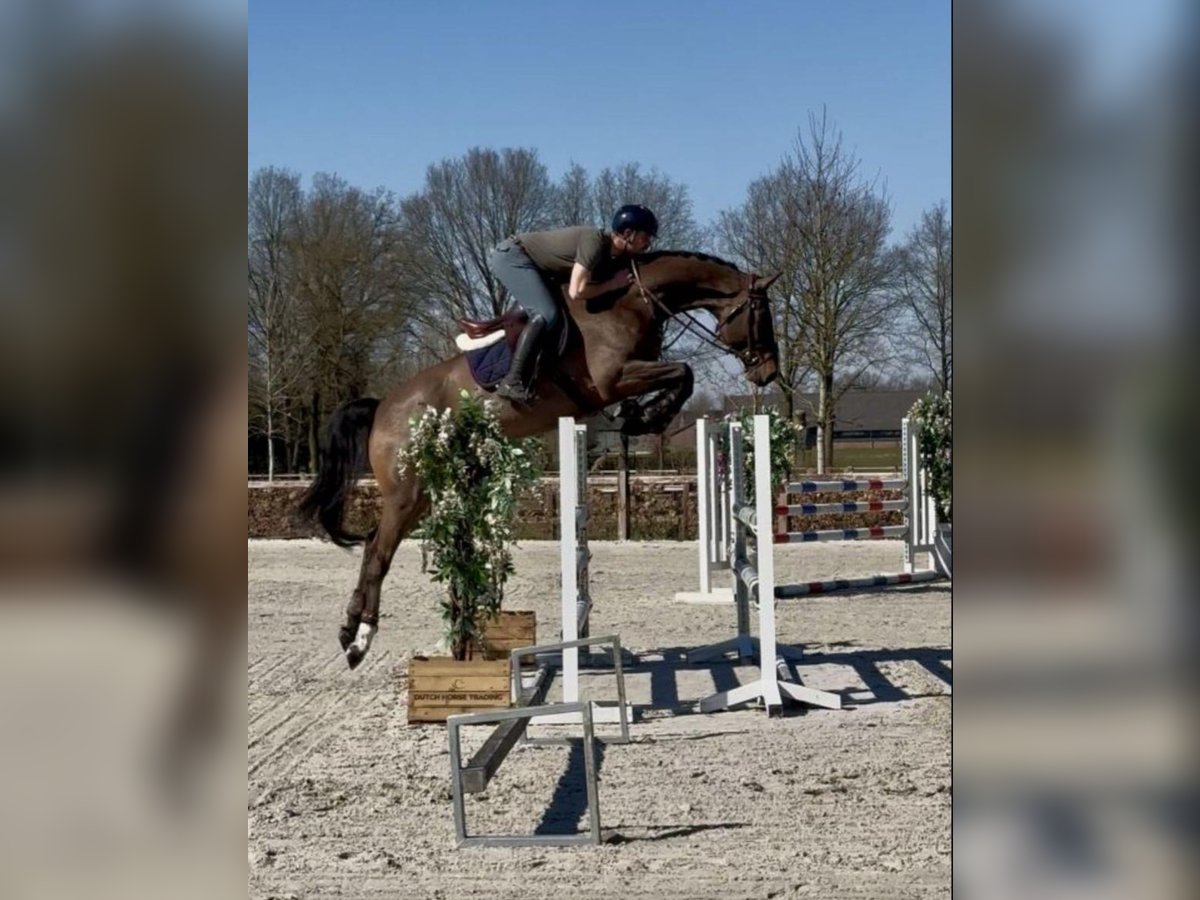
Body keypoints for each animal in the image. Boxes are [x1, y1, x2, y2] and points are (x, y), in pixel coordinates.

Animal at [299, 250, 782, 668]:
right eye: (763, 315)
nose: (768, 373)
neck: (631, 301)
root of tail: (382, 407)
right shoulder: (613, 378)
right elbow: (683, 372)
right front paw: (647, 415)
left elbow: (681, 374)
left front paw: (640, 415)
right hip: (408, 493)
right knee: (378, 551)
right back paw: (360, 639)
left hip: (436, 488)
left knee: (373, 547)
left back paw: (355, 632)